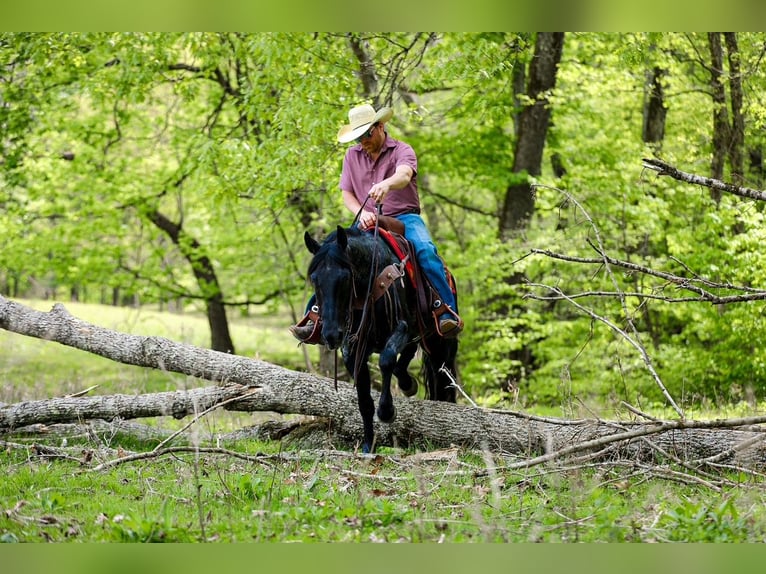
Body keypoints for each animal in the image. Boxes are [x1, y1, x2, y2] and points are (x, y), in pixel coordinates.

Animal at [304, 224, 459, 454]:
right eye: (314, 279)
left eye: (345, 278)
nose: (331, 335)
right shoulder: (353, 349)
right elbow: (364, 401)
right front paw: (369, 445)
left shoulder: (401, 328)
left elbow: (386, 360)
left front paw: (387, 411)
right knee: (408, 358)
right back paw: (407, 383)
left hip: (441, 343)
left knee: (444, 379)